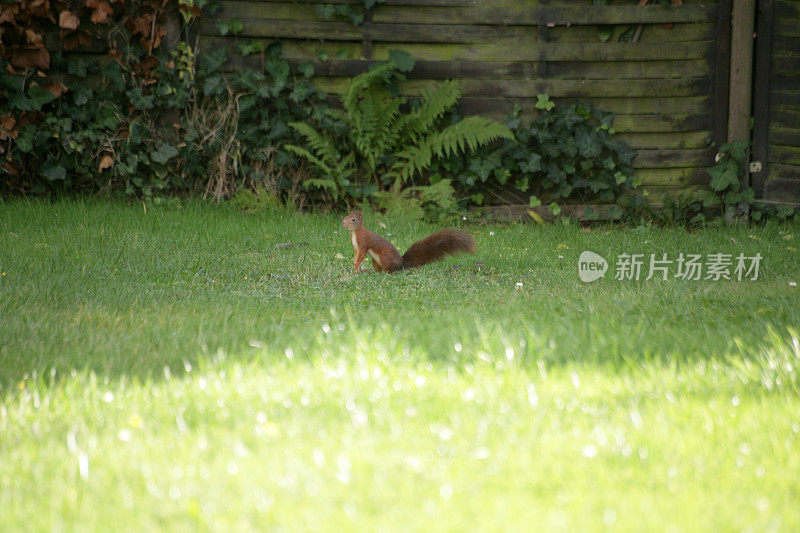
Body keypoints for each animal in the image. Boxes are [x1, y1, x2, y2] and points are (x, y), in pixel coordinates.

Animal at [340, 209, 476, 274]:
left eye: (353, 219)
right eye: (346, 216)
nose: (343, 223)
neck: (356, 232)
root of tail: (401, 264)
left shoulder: (363, 243)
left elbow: (360, 256)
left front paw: (356, 269)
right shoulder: (356, 247)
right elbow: (355, 256)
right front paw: (356, 268)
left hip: (385, 256)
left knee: (389, 271)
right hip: (375, 259)